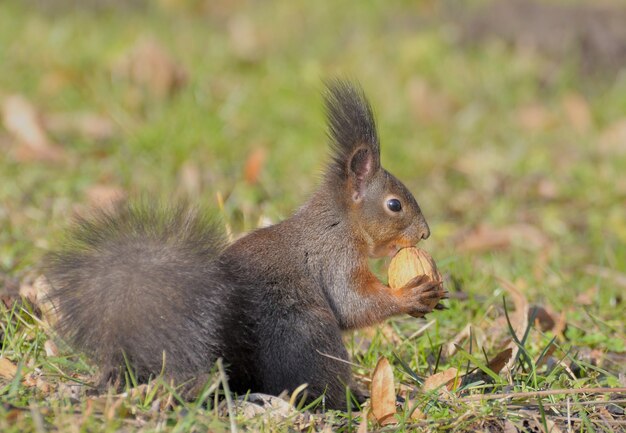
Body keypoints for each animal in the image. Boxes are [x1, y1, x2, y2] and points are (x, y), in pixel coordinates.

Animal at [45, 80, 444, 408]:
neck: (340, 222)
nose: (424, 233)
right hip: (310, 333)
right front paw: (411, 295)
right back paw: (355, 399)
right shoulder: (334, 257)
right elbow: (352, 303)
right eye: (395, 205)